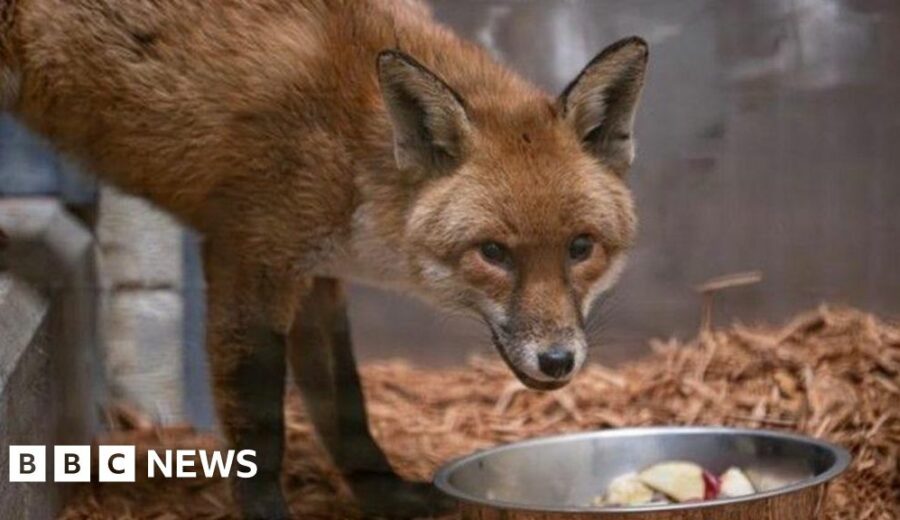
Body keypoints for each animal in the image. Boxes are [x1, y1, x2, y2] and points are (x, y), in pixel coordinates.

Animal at [0, 0, 647, 517]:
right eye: (493, 252)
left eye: (580, 247)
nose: (558, 361)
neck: (350, 140)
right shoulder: (248, 258)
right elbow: (259, 430)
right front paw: (268, 514)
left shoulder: (317, 276)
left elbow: (346, 406)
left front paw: (387, 495)